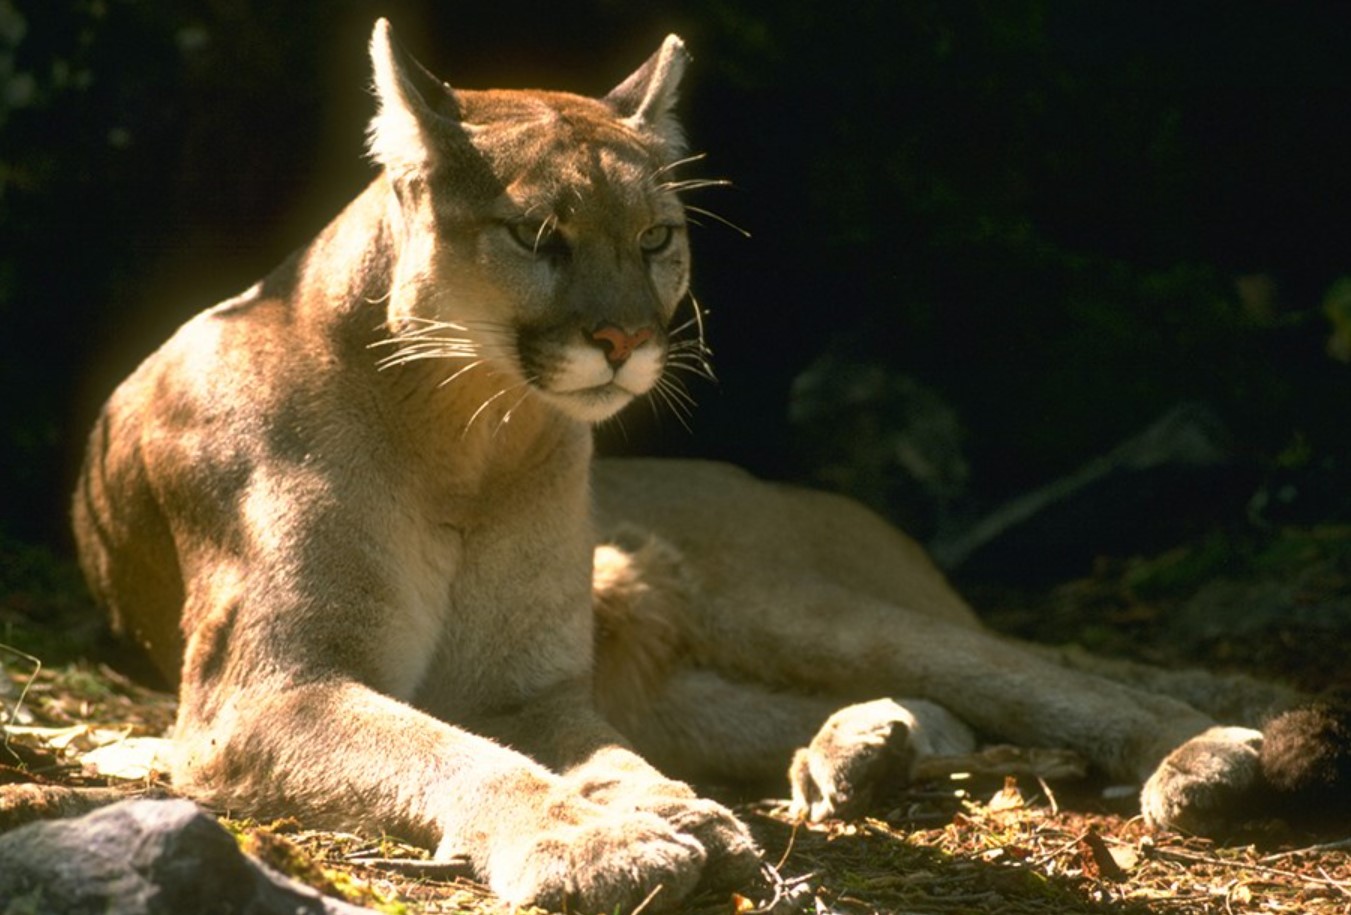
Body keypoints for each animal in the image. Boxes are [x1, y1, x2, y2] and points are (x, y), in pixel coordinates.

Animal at [73, 16, 1340, 913]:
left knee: (1041, 675)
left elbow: (544, 752)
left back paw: (1194, 759)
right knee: (890, 710)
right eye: (537, 235)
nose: (624, 339)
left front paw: (651, 823)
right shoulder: (267, 690)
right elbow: (456, 755)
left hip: (773, 595)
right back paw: (860, 757)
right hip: (690, 664)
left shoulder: (521, 687)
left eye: (655, 239)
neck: (467, 431)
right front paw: (610, 836)